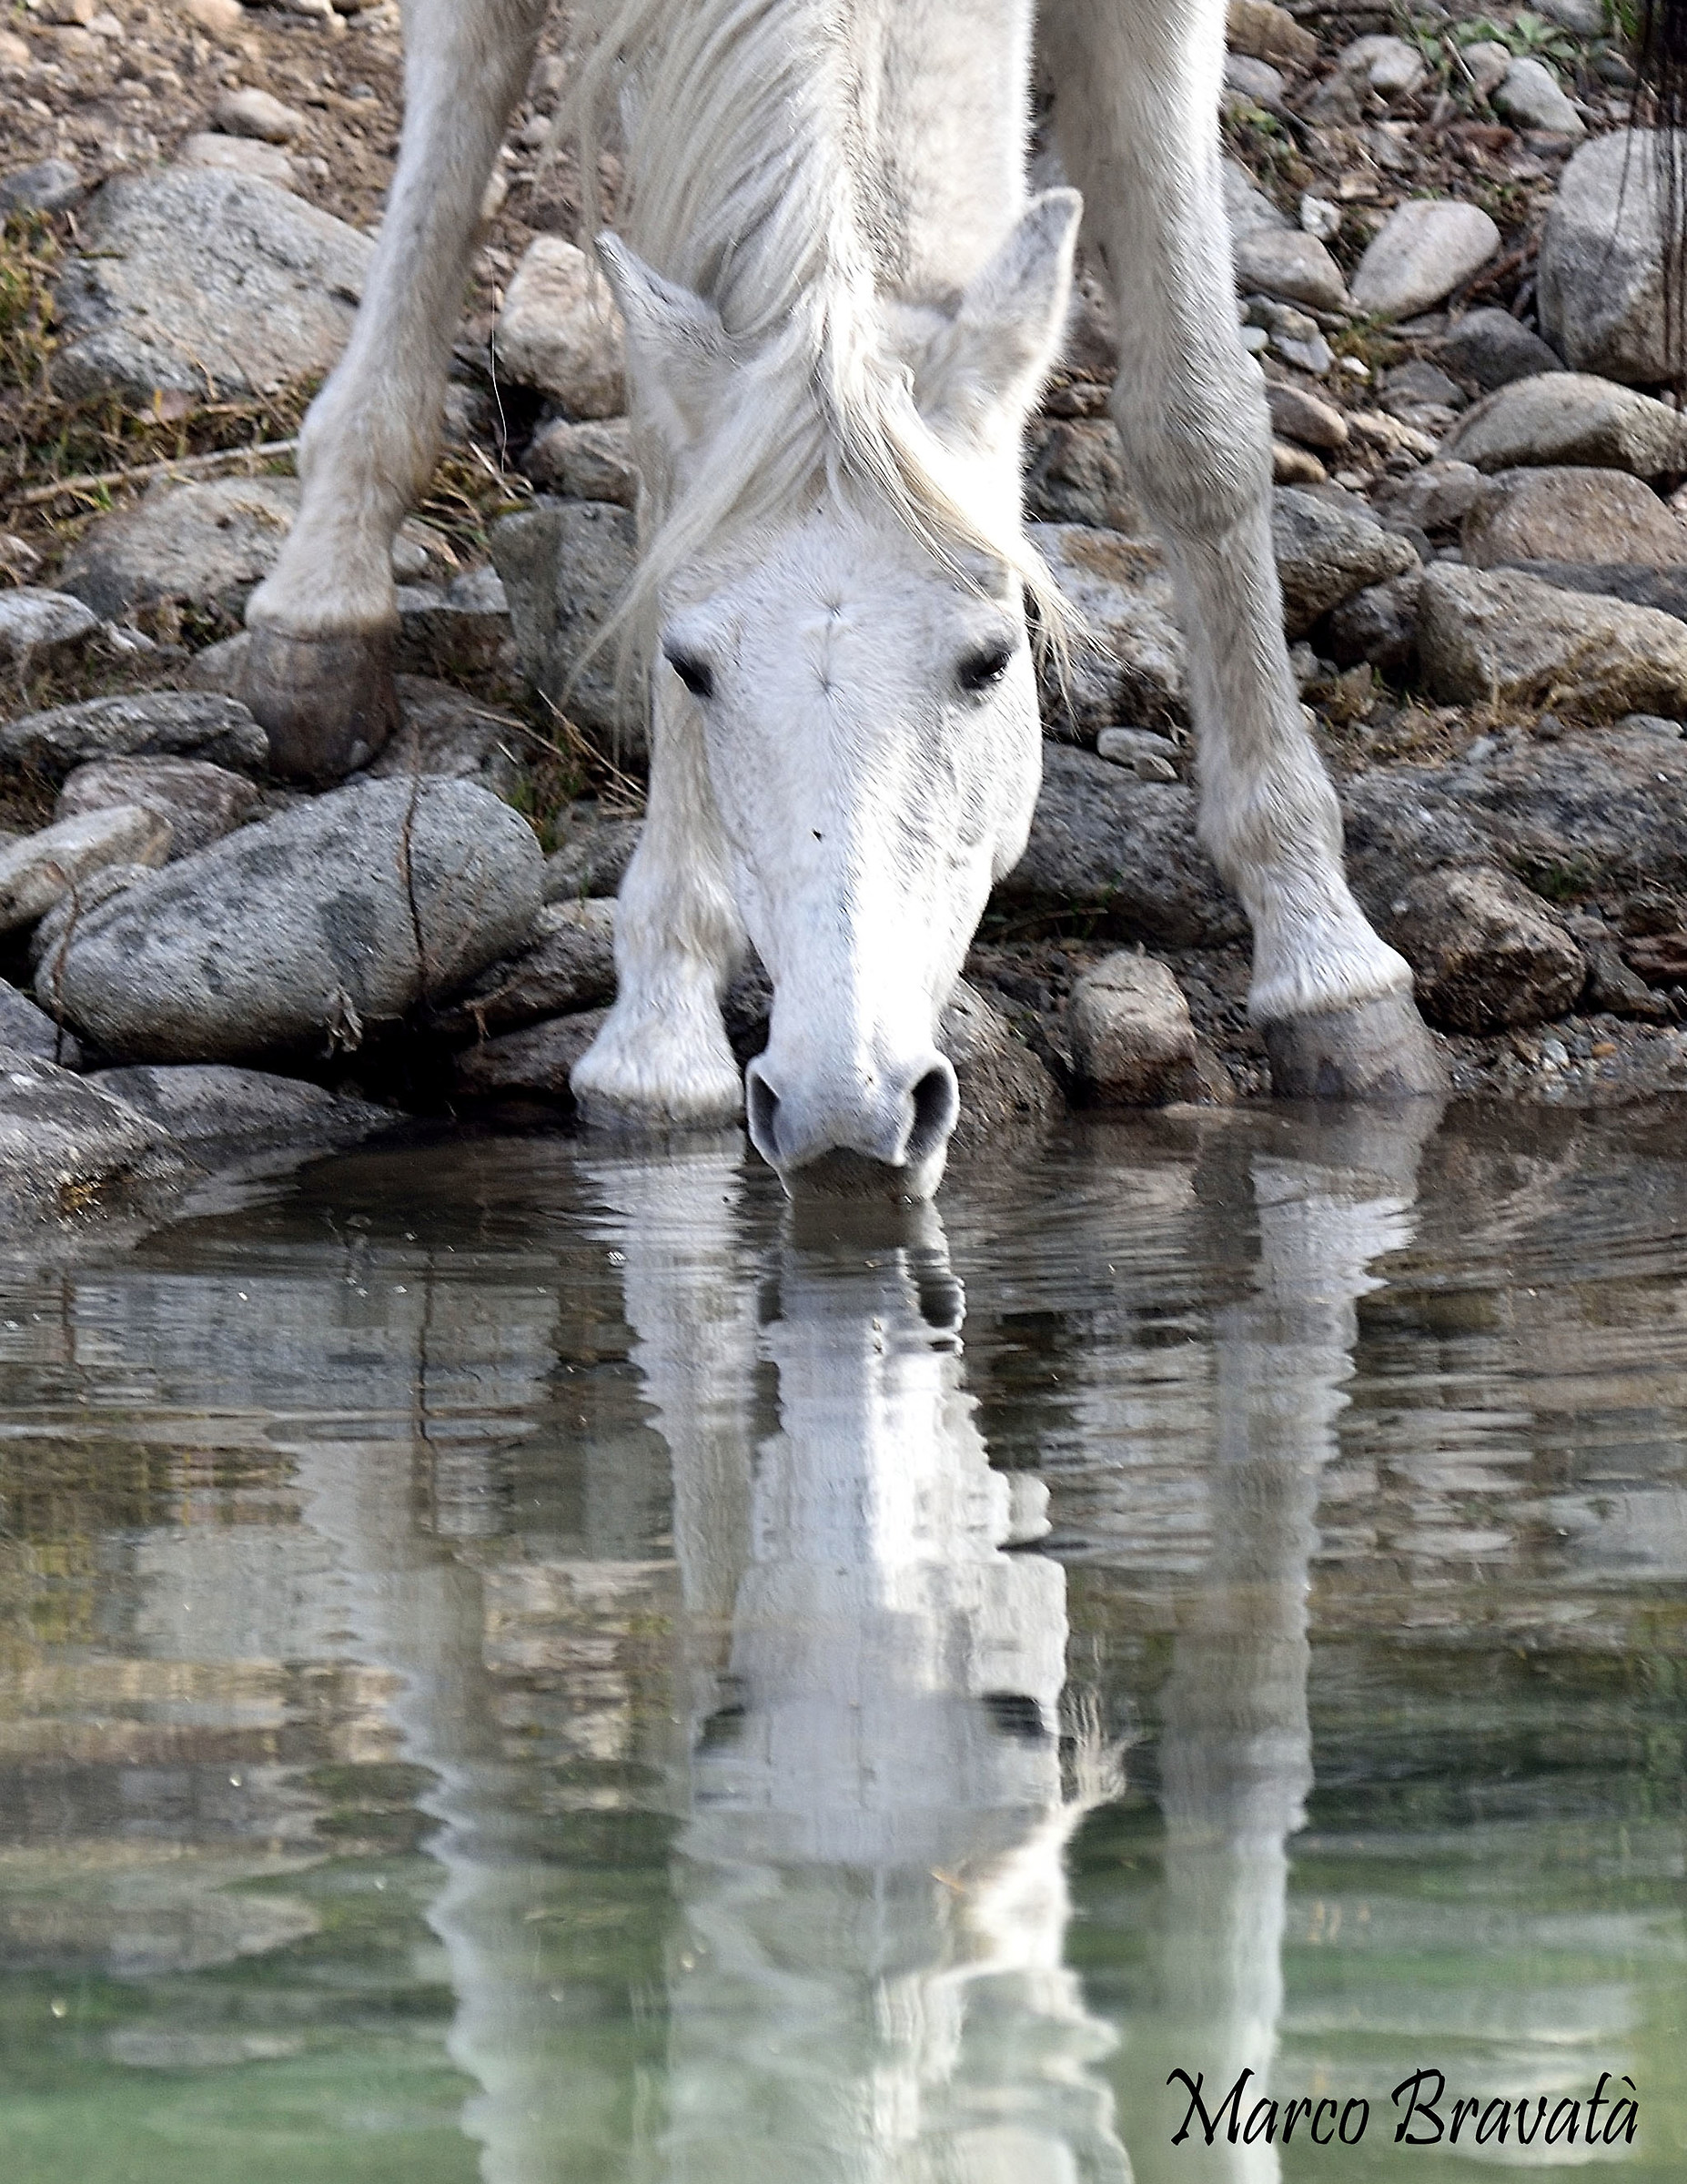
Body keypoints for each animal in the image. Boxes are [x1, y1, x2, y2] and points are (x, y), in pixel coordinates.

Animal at [240, 0, 1450, 1198]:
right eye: (688, 667)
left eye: (993, 659)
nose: (844, 1108)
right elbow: (669, 480)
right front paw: (661, 1035)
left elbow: (1199, 430)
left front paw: (1328, 958)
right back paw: (324, 602)